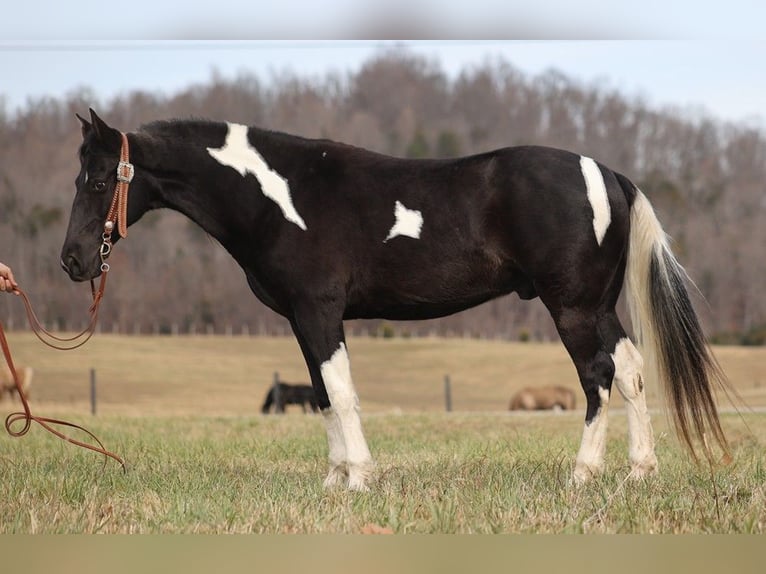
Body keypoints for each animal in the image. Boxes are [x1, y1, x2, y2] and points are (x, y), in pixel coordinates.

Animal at [58, 110, 732, 492]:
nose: (73, 261)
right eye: (79, 176)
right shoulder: (302, 321)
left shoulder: (320, 311)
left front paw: (359, 478)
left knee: (597, 378)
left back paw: (583, 475)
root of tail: (607, 173)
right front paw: (334, 481)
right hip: (598, 307)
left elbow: (344, 394)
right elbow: (323, 396)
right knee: (632, 372)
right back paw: (639, 472)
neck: (281, 196)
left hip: (572, 308)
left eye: (100, 179)